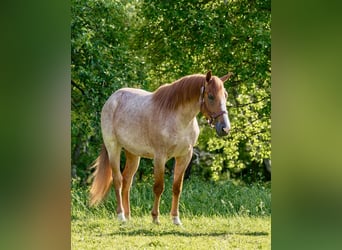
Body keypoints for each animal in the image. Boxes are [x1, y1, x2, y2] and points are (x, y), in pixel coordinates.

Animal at [89, 70, 232, 225]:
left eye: (225, 95)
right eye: (210, 96)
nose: (225, 128)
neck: (179, 120)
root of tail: (112, 99)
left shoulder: (184, 156)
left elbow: (177, 188)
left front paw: (176, 219)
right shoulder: (160, 157)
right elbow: (158, 187)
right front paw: (155, 218)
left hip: (133, 154)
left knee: (127, 181)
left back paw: (128, 216)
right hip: (113, 148)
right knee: (118, 180)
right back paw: (121, 216)